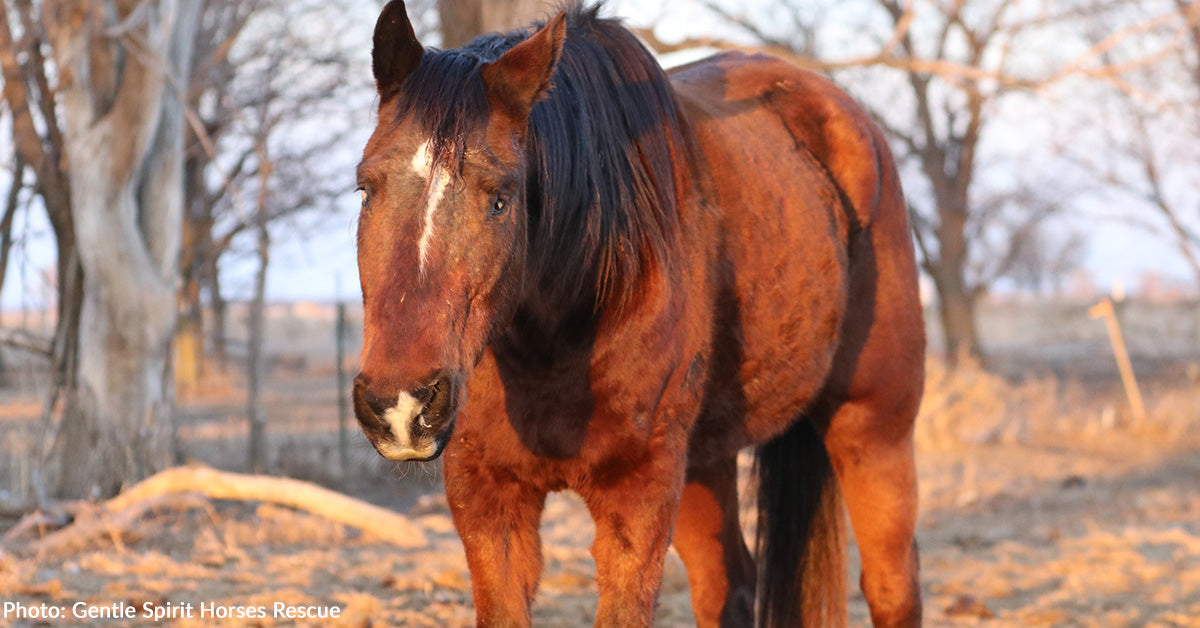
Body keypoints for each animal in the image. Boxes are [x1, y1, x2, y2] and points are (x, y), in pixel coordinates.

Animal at [352, 2, 925, 626]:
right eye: (365, 190)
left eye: (499, 199)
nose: (400, 407)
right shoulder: (485, 497)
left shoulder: (639, 495)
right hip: (706, 459)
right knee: (728, 584)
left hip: (873, 428)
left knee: (892, 584)